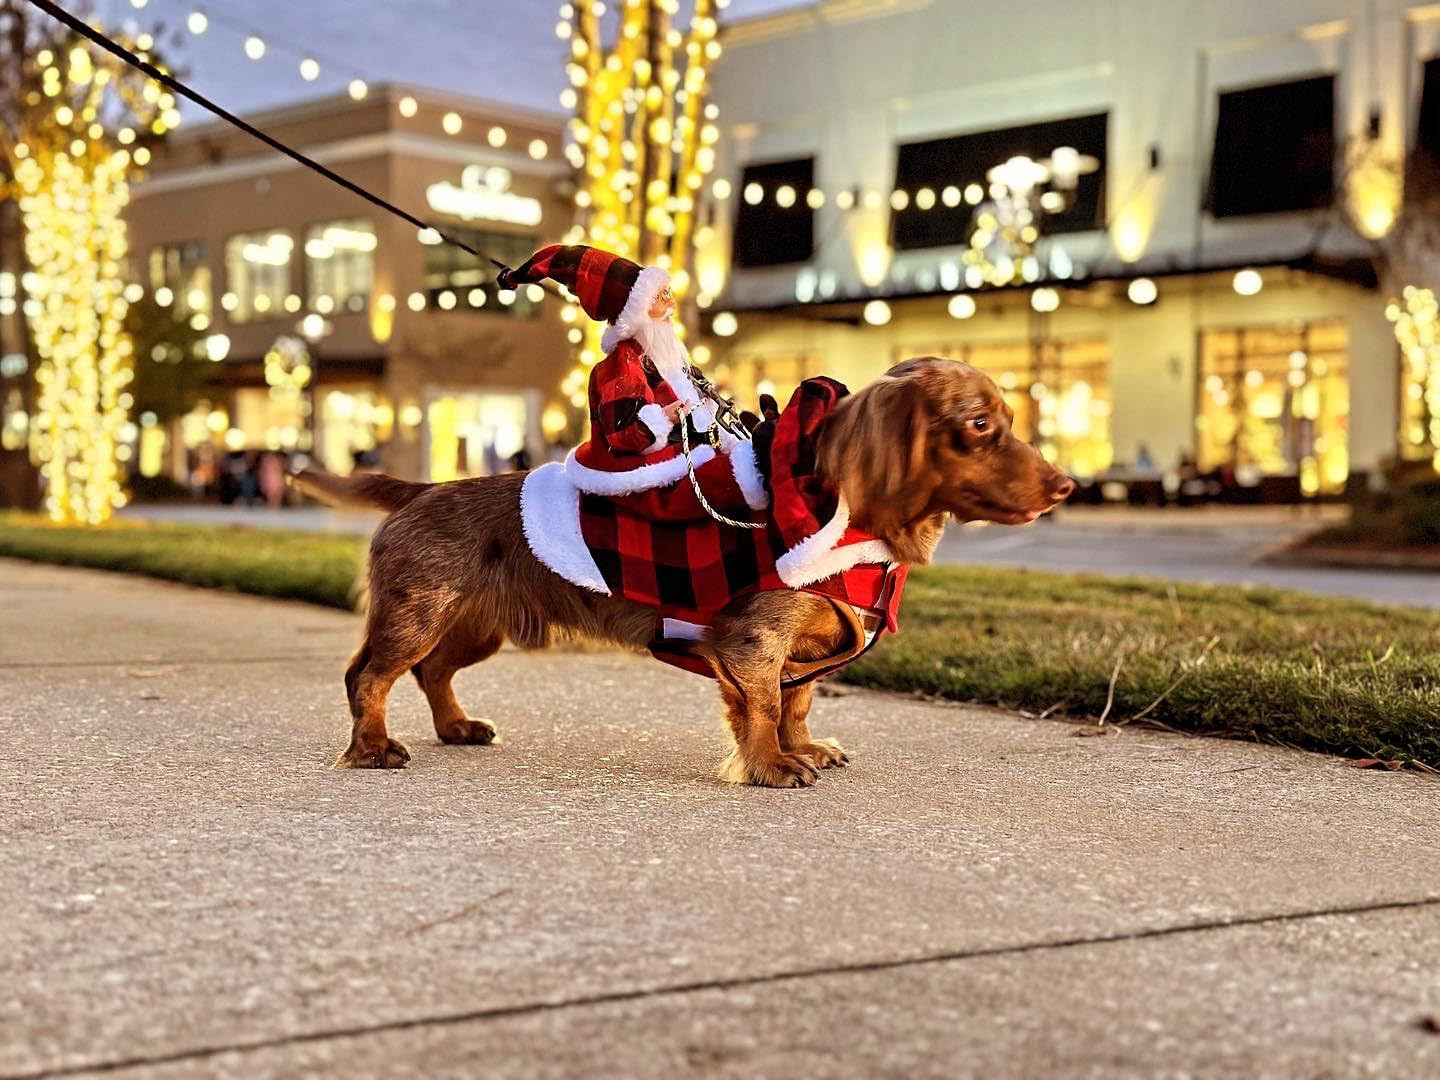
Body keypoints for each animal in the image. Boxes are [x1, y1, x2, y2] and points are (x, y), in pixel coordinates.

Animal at [298, 360, 1077, 789]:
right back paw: (371, 749)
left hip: (475, 628)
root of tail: (419, 489)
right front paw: (770, 766)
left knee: (433, 673)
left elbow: (796, 704)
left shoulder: (804, 651)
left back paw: (456, 728)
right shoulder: (753, 643)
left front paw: (802, 748)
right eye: (979, 424)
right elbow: (761, 707)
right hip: (418, 615)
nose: (1067, 485)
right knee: (368, 677)